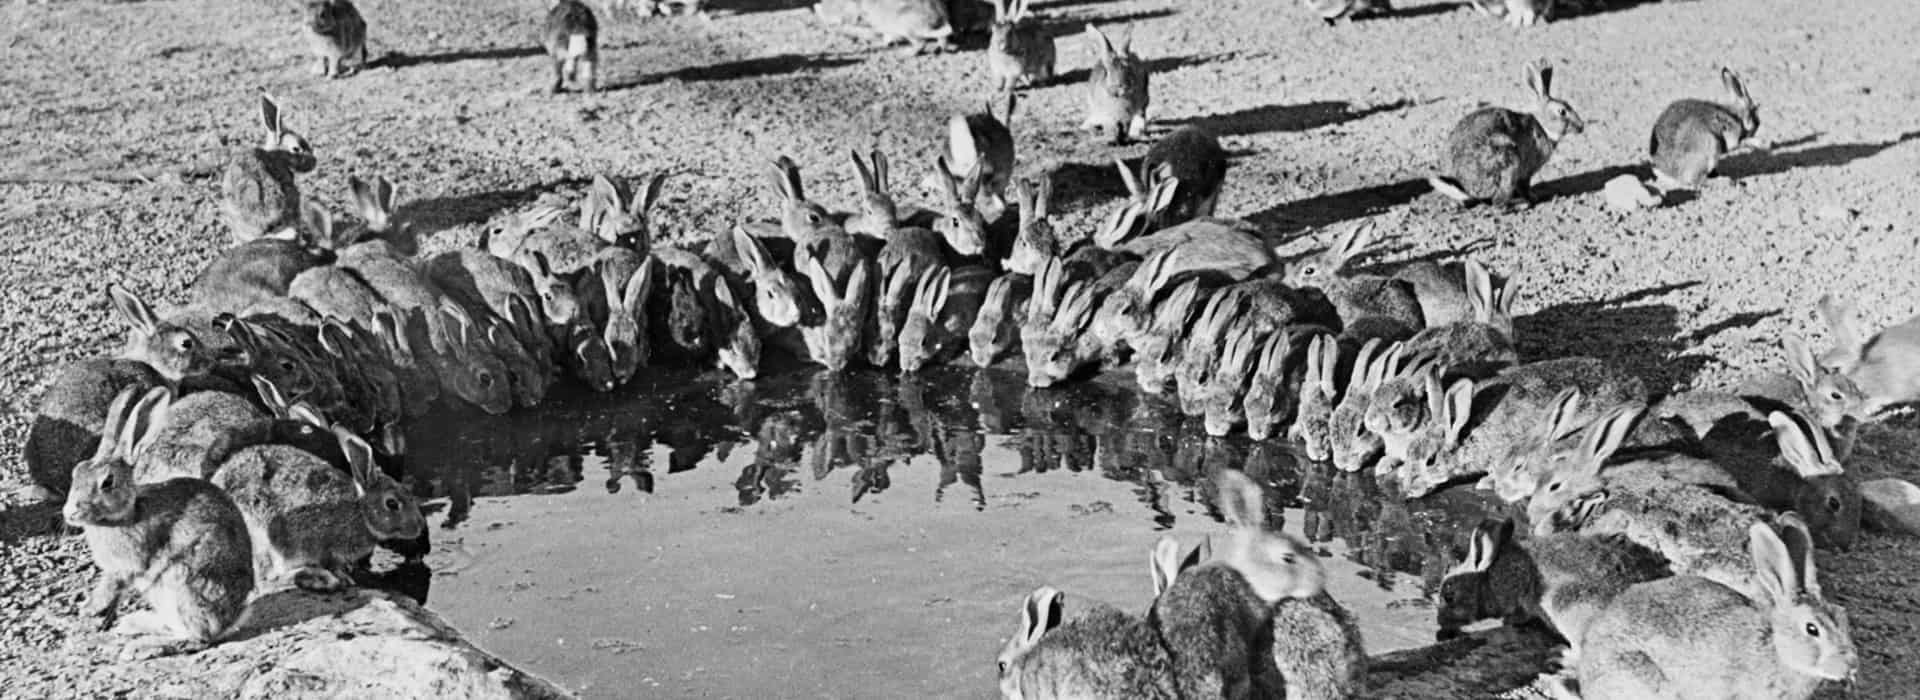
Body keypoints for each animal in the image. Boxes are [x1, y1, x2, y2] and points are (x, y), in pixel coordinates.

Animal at [64, 387, 254, 661]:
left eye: (107, 483)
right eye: (76, 473)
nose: (70, 512)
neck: (126, 514)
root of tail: (233, 617)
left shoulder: (126, 565)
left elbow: (111, 586)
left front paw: (90, 608)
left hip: (183, 584)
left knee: (199, 638)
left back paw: (141, 647)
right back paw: (134, 624)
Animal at [212, 423, 424, 592]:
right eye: (392, 503)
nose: (419, 526)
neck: (360, 513)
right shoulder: (317, 544)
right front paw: (342, 578)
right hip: (262, 536)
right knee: (267, 576)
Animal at [1428, 61, 1584, 210]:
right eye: (1562, 112)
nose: (1581, 127)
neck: (1543, 127)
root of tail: (1464, 187)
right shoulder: (1525, 172)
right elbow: (1524, 186)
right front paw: (1533, 197)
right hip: (1507, 161)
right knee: (1498, 203)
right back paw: (1521, 204)